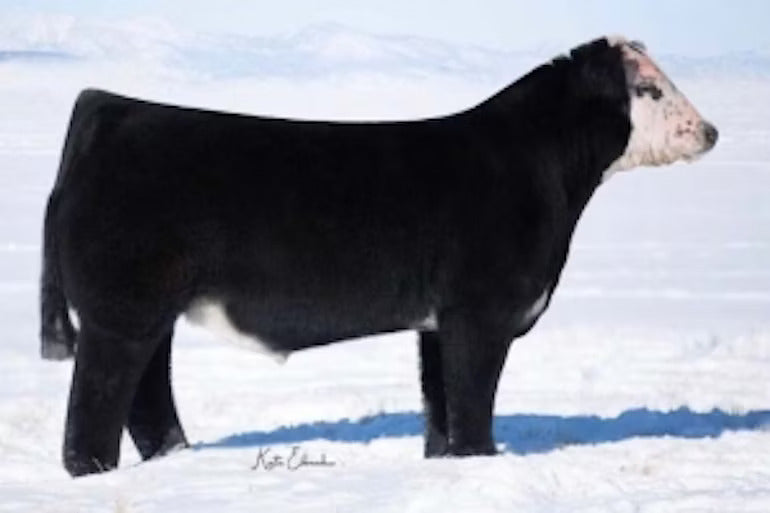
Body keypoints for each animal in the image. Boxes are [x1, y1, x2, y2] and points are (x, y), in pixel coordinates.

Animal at [40, 36, 717, 476]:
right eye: (650, 88)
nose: (709, 131)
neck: (536, 167)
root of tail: (113, 109)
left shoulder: (438, 320)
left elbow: (440, 404)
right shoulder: (481, 311)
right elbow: (473, 399)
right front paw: (482, 459)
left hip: (148, 314)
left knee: (148, 396)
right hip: (120, 313)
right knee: (95, 409)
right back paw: (99, 471)